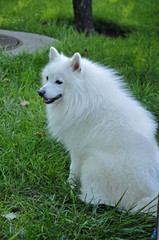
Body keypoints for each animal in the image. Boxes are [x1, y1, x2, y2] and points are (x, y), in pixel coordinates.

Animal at [37, 46, 159, 214]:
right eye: (47, 78)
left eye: (59, 82)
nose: (40, 92)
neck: (81, 96)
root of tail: (148, 197)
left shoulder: (77, 148)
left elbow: (73, 169)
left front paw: (69, 185)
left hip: (94, 164)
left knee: (102, 199)